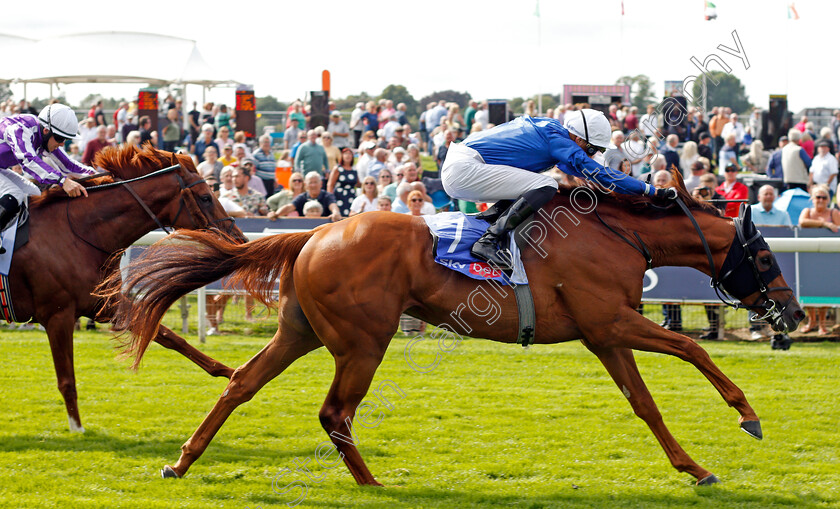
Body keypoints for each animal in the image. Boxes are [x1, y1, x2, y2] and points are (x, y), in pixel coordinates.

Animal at [8, 145, 241, 430]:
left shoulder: (104, 305)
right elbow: (67, 380)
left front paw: (233, 374)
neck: (77, 234)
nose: (238, 237)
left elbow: (169, 337)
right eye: (206, 197)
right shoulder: (57, 315)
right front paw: (77, 428)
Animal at [108, 171, 804, 484]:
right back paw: (371, 482)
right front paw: (747, 414)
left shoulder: (605, 333)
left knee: (242, 385)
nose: (794, 315)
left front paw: (694, 467)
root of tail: (316, 232)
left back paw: (182, 461)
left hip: (300, 331)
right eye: (767, 259)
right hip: (364, 341)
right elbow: (690, 347)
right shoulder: (613, 320)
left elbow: (645, 404)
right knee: (334, 412)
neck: (617, 233)